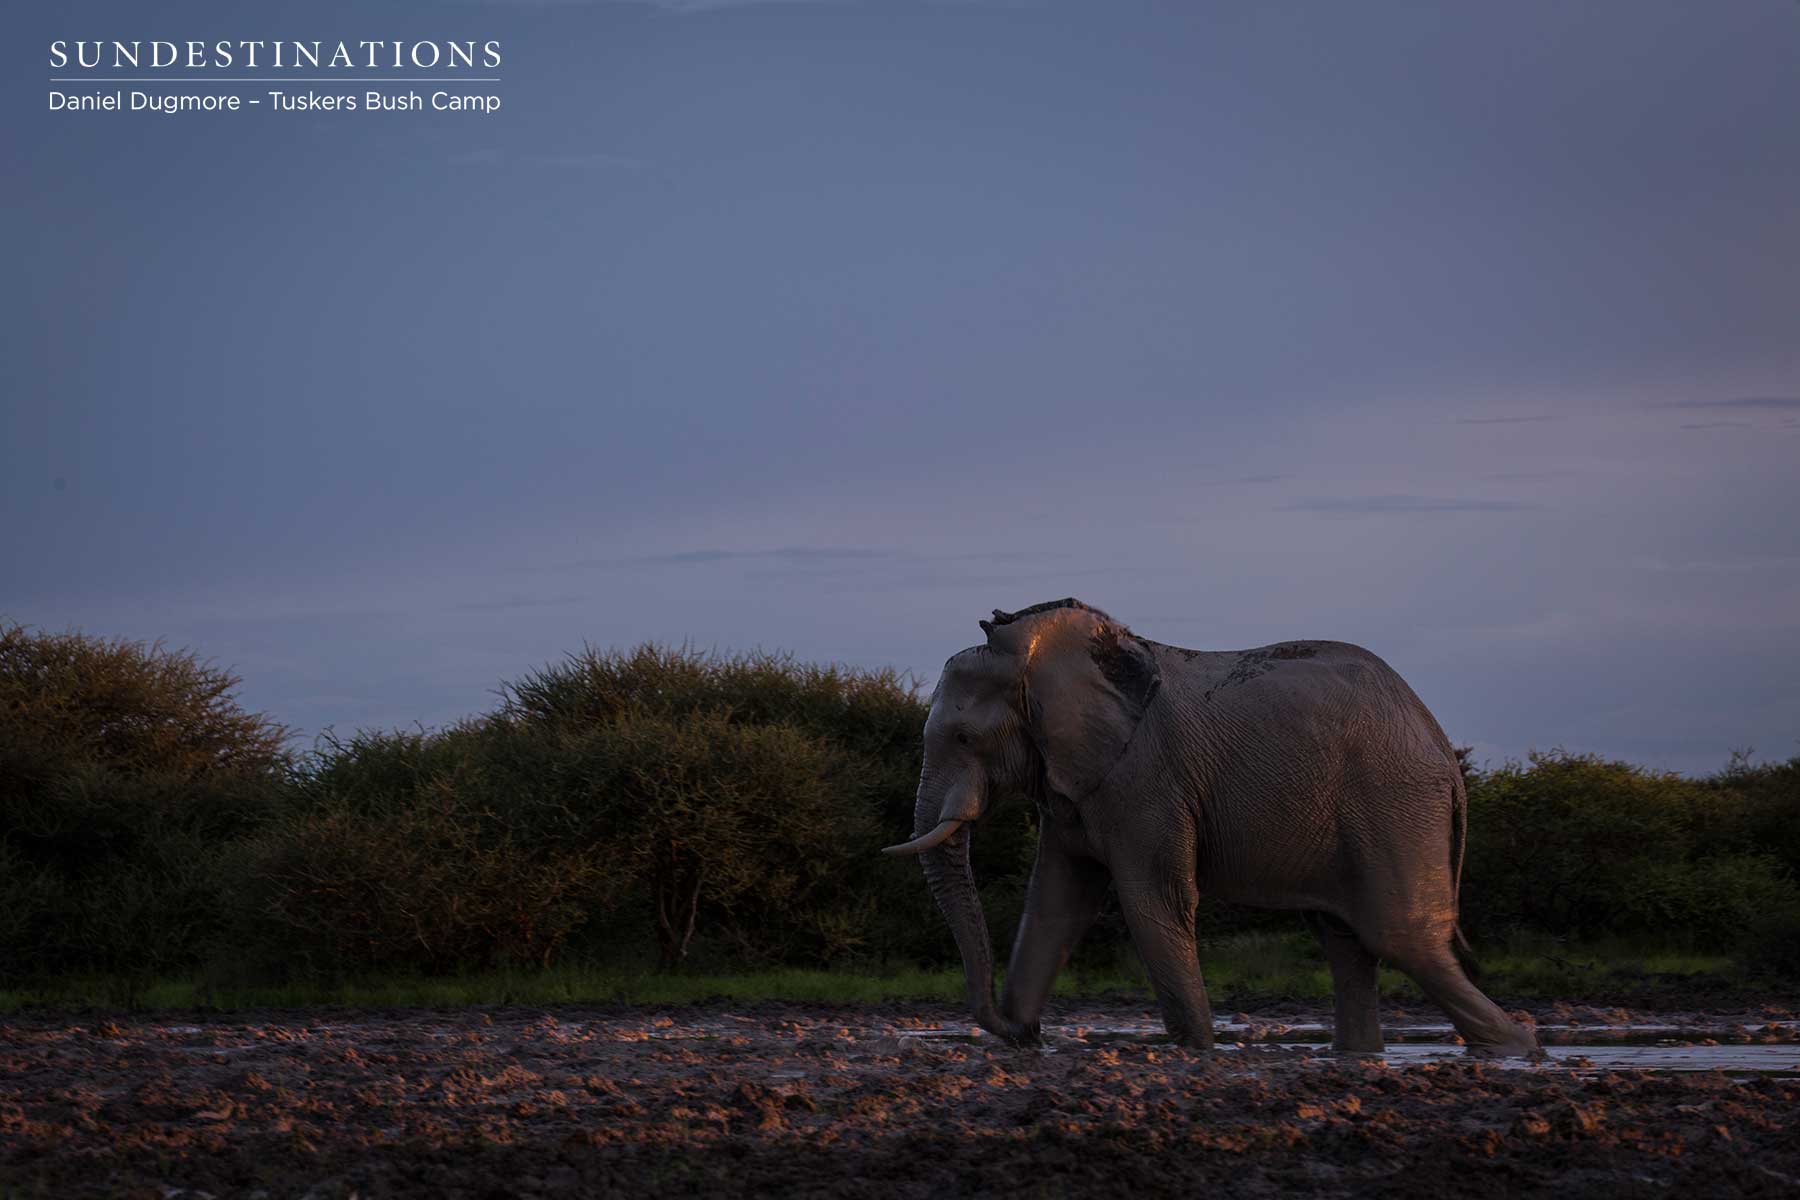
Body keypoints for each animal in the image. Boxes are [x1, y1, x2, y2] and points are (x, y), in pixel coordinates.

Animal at [883, 598, 1539, 1058]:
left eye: (963, 738)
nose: (1019, 1027)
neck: (1045, 652)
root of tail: (1442, 748)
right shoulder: (1074, 779)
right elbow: (1056, 903)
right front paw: (1022, 1036)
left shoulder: (1147, 778)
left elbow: (1153, 901)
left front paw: (1197, 1049)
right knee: (1347, 942)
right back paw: (1360, 1055)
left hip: (1393, 806)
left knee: (1402, 939)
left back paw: (1516, 1048)